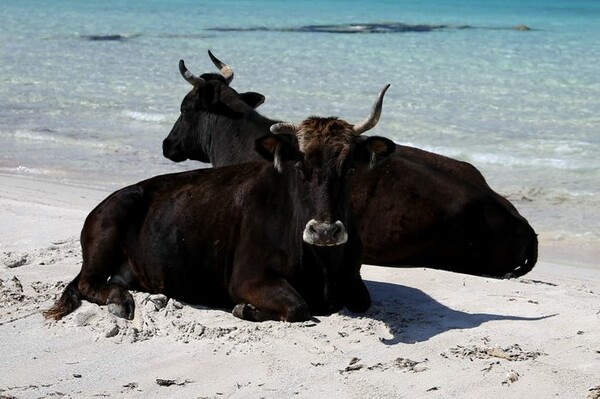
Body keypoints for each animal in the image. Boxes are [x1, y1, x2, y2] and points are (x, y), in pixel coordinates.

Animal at [44, 86, 396, 324]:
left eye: (349, 168)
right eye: (299, 166)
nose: (324, 231)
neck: (322, 264)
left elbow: (361, 300)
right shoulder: (247, 277)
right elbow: (298, 306)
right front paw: (246, 309)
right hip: (105, 235)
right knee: (86, 282)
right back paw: (120, 301)